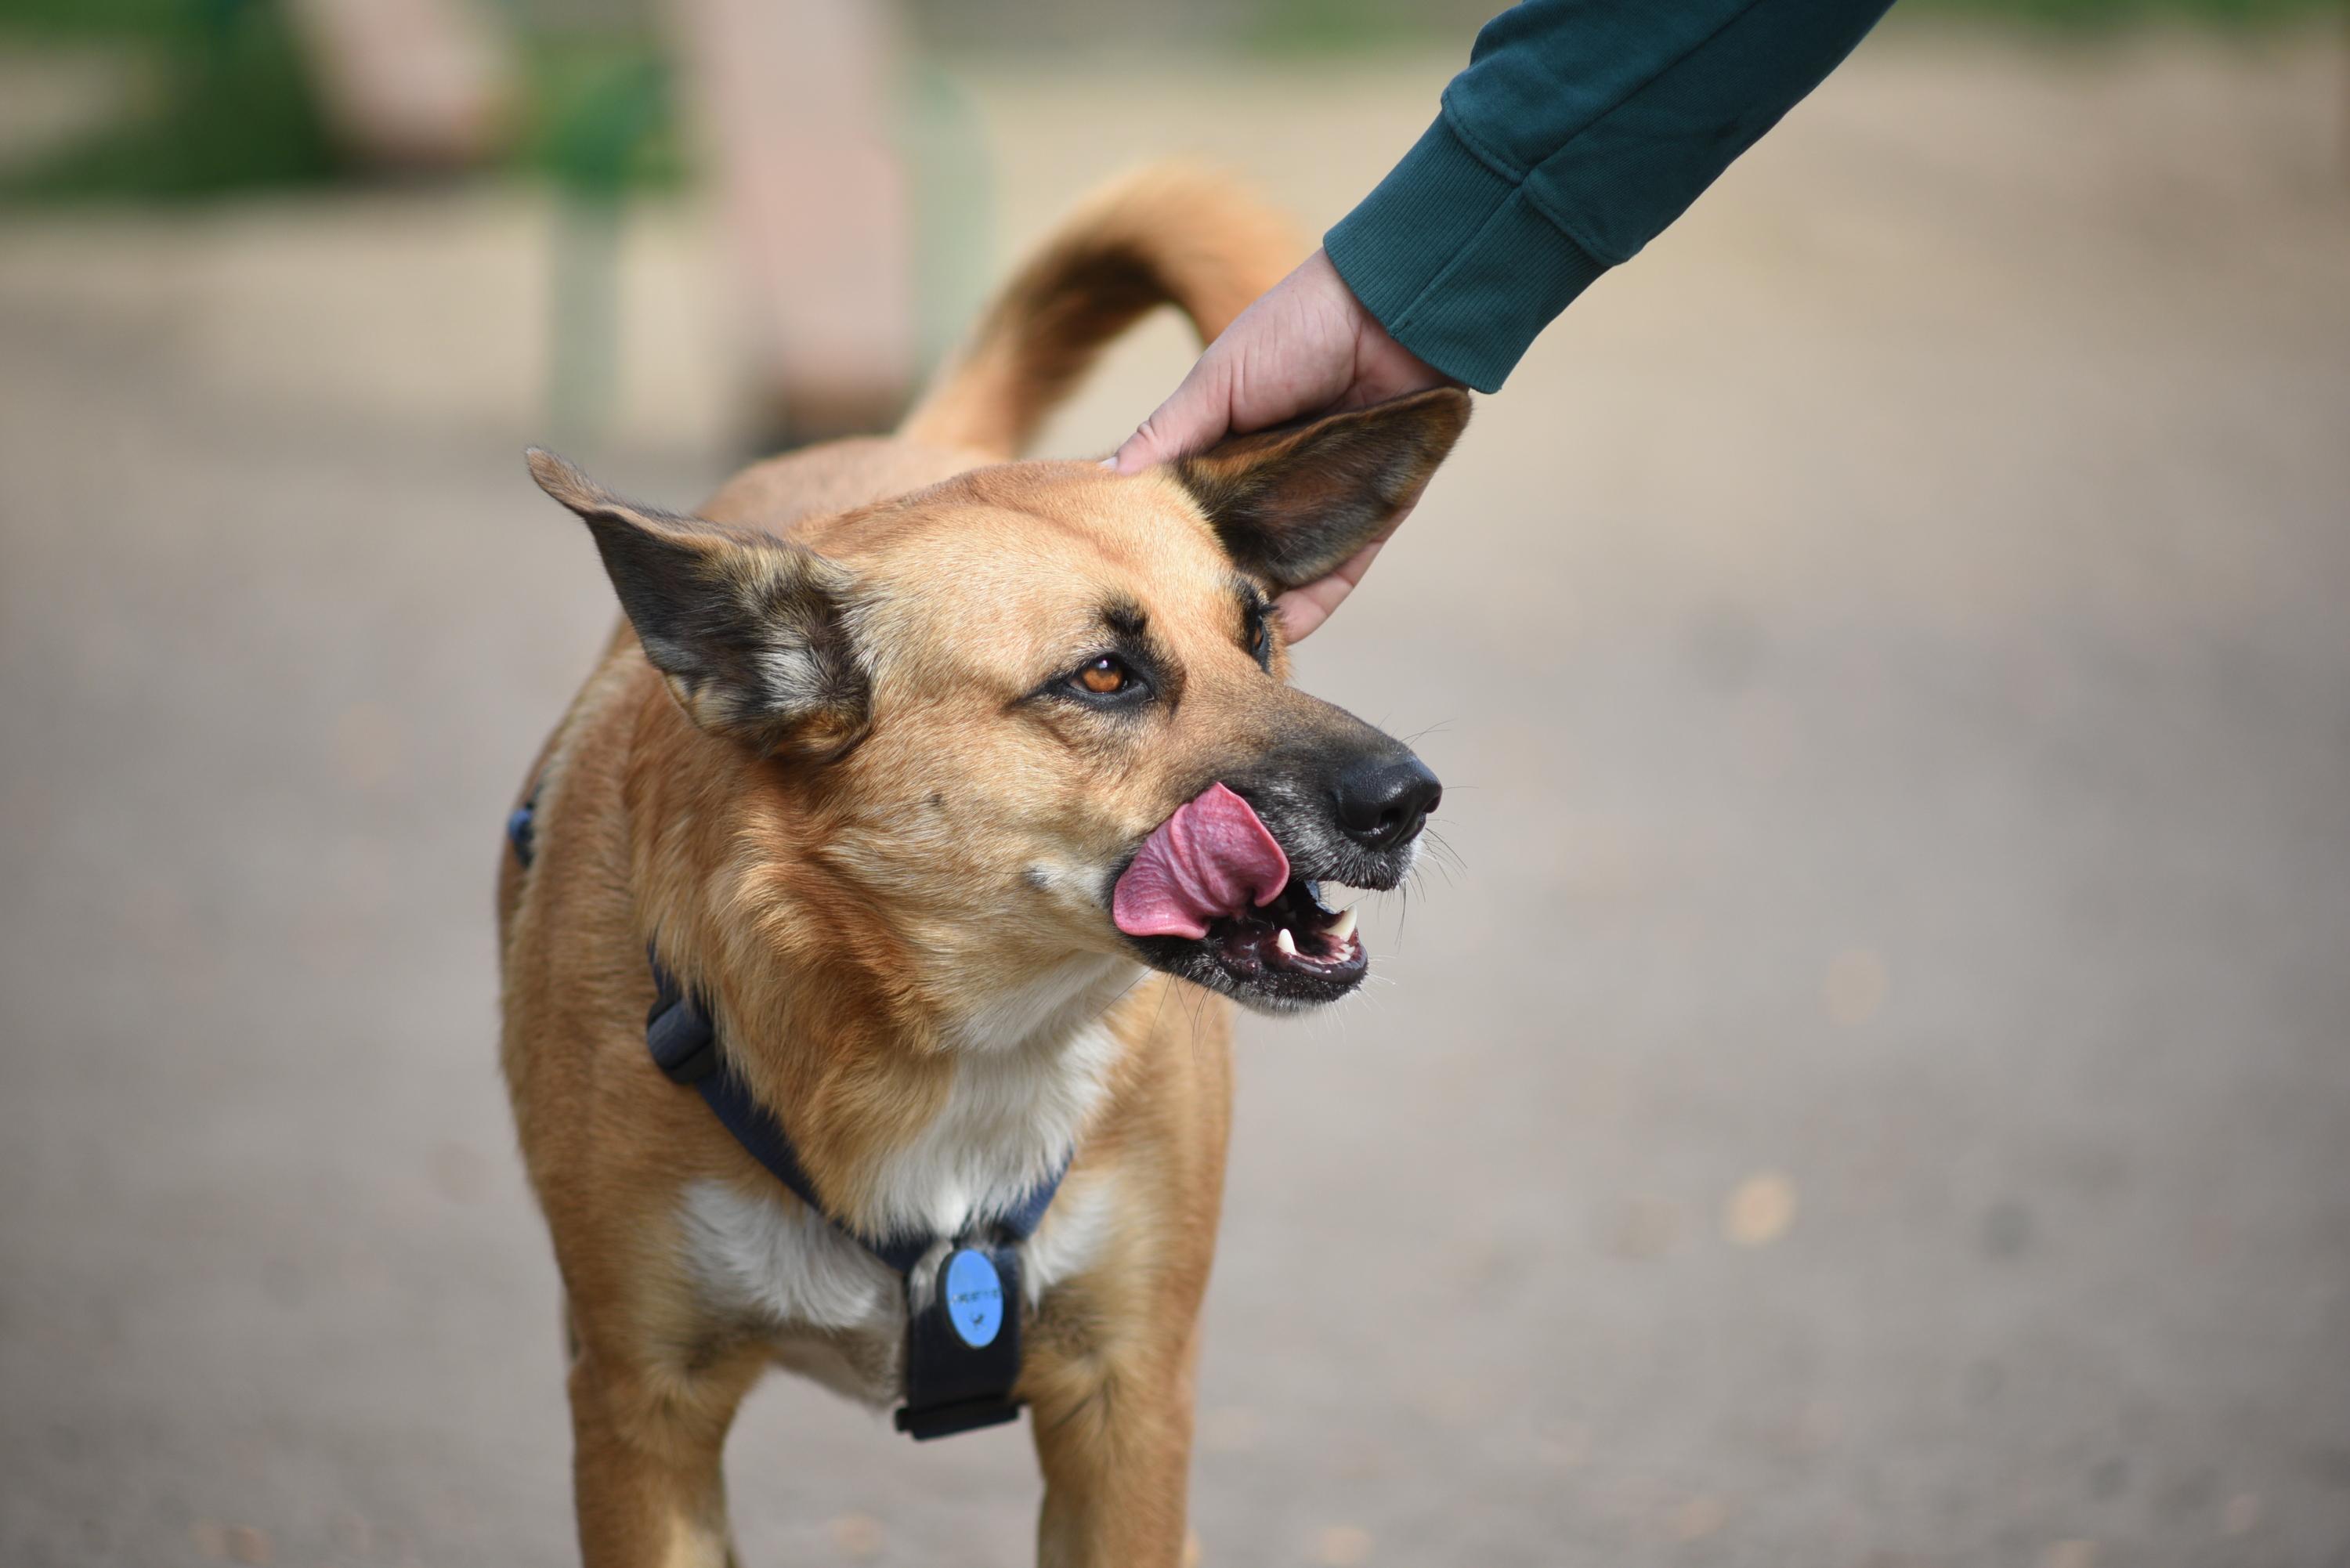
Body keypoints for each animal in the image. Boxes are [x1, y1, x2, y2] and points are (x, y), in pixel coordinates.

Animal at [501, 165, 1466, 1560]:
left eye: (1260, 633)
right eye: (1104, 676)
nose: (1409, 797)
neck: (966, 1048)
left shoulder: (1128, 1405)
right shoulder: (641, 1410)